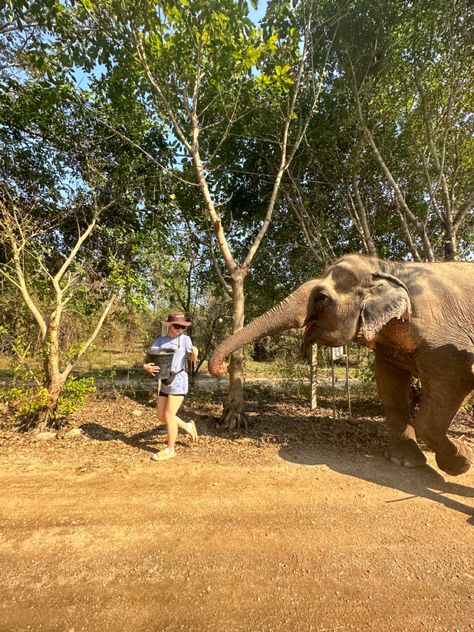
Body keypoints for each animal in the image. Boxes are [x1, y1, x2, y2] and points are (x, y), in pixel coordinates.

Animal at [208, 254, 474, 476]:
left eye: (321, 298)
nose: (219, 369)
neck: (388, 267)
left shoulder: (444, 341)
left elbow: (452, 380)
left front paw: (462, 461)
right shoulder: (389, 348)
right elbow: (390, 387)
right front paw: (405, 461)